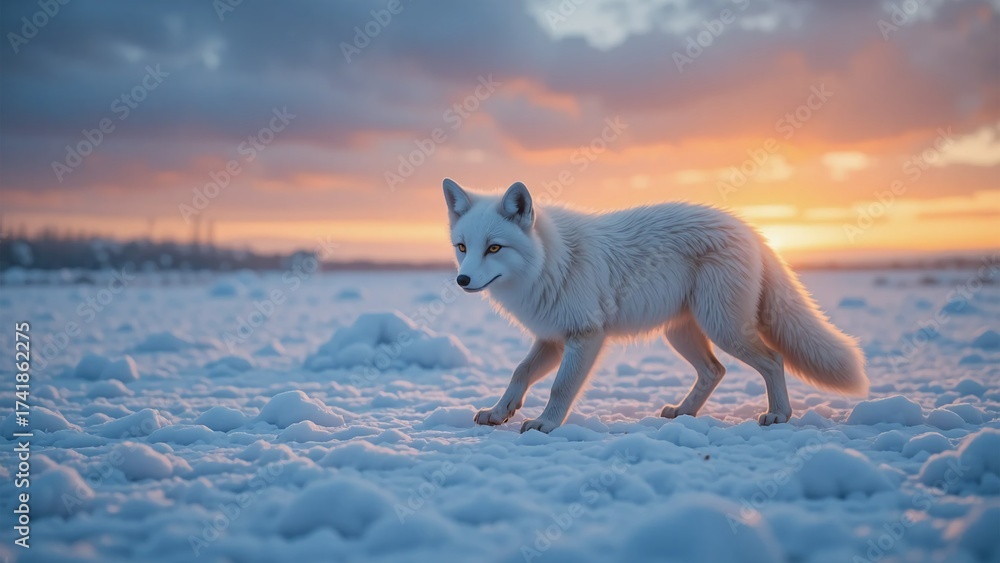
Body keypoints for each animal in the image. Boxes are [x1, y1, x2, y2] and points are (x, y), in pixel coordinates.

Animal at [442, 178, 868, 433]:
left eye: (494, 248)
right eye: (462, 247)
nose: (463, 280)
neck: (553, 260)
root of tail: (750, 230)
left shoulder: (585, 335)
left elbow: (560, 387)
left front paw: (546, 424)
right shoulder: (552, 338)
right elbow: (519, 373)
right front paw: (500, 412)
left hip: (723, 329)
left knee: (773, 360)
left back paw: (779, 414)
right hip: (681, 334)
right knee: (715, 370)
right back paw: (684, 413)